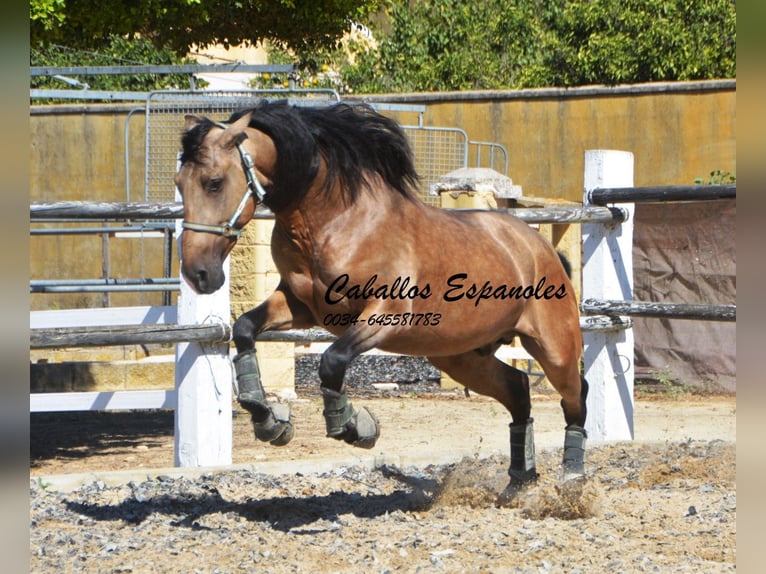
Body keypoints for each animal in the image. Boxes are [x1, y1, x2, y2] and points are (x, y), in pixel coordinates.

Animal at [177, 101, 592, 488]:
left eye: (214, 182)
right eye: (181, 183)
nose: (199, 274)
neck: (334, 222)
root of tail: (541, 247)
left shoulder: (385, 315)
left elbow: (332, 360)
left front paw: (355, 427)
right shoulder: (301, 306)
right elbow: (246, 328)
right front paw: (269, 421)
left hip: (553, 348)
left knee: (576, 396)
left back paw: (572, 477)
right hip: (461, 357)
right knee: (519, 389)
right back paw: (521, 480)